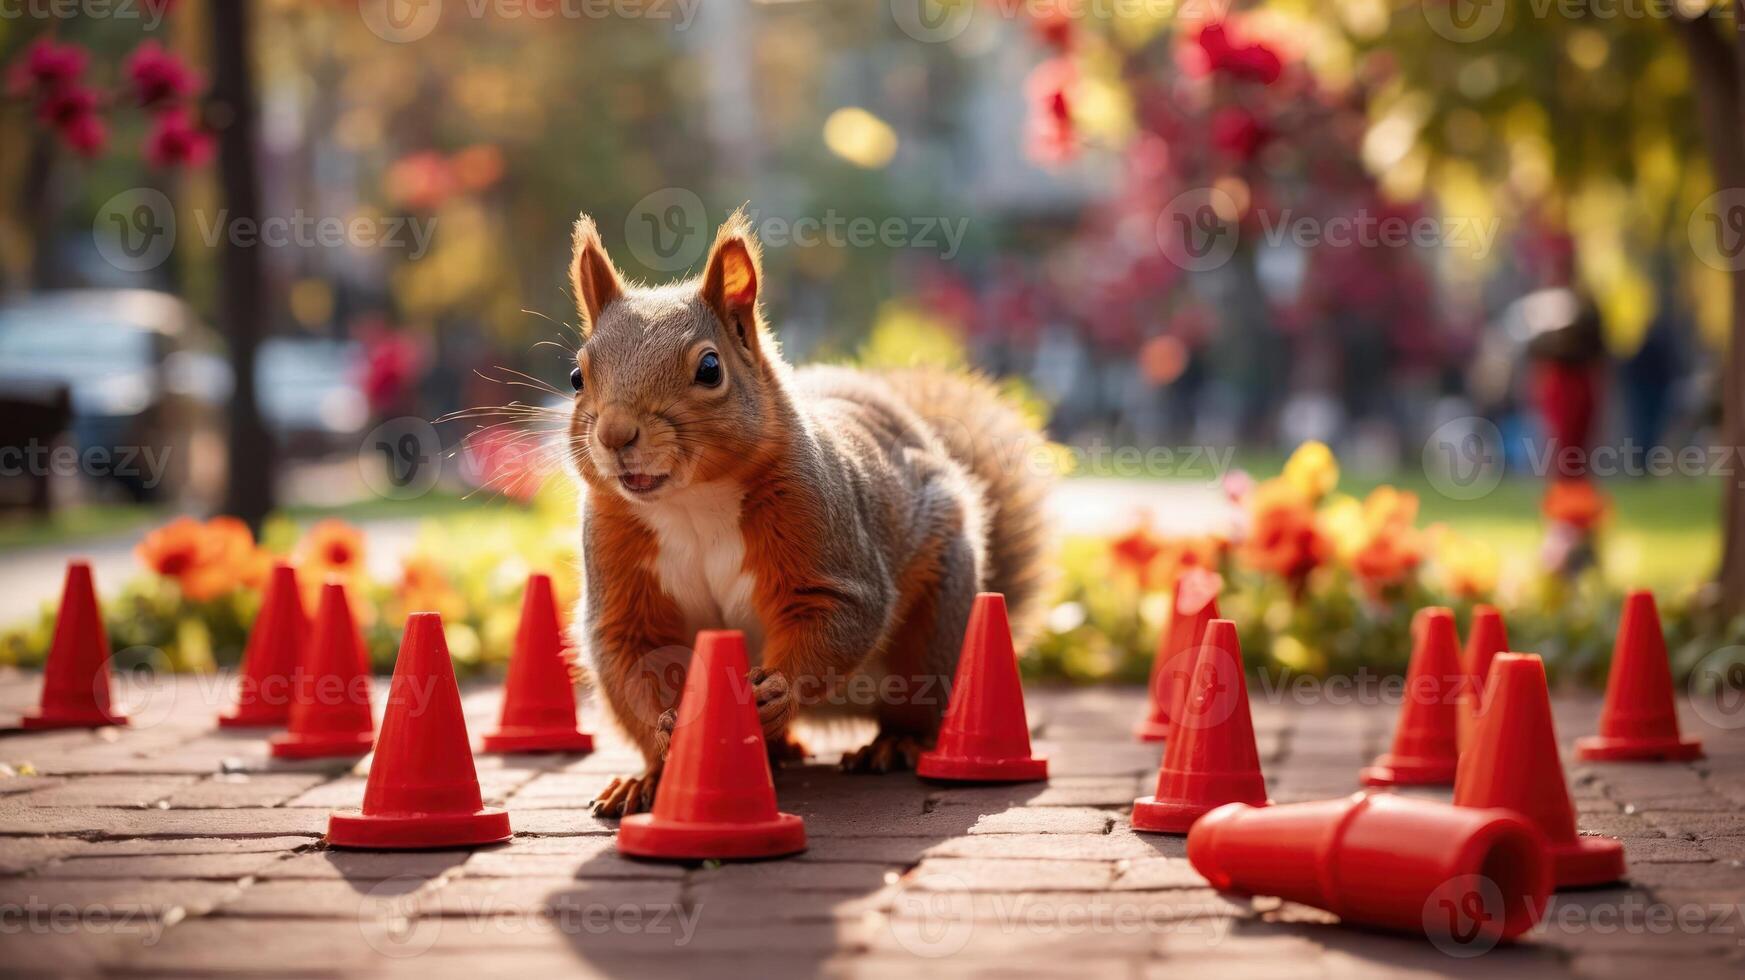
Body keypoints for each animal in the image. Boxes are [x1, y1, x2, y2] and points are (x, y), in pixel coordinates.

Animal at [564, 209, 1052, 817]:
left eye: (710, 368)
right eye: (577, 376)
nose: (614, 435)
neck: (691, 503)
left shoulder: (822, 537)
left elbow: (838, 613)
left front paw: (776, 694)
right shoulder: (617, 563)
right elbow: (633, 652)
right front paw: (661, 748)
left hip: (934, 636)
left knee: (918, 703)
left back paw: (893, 742)